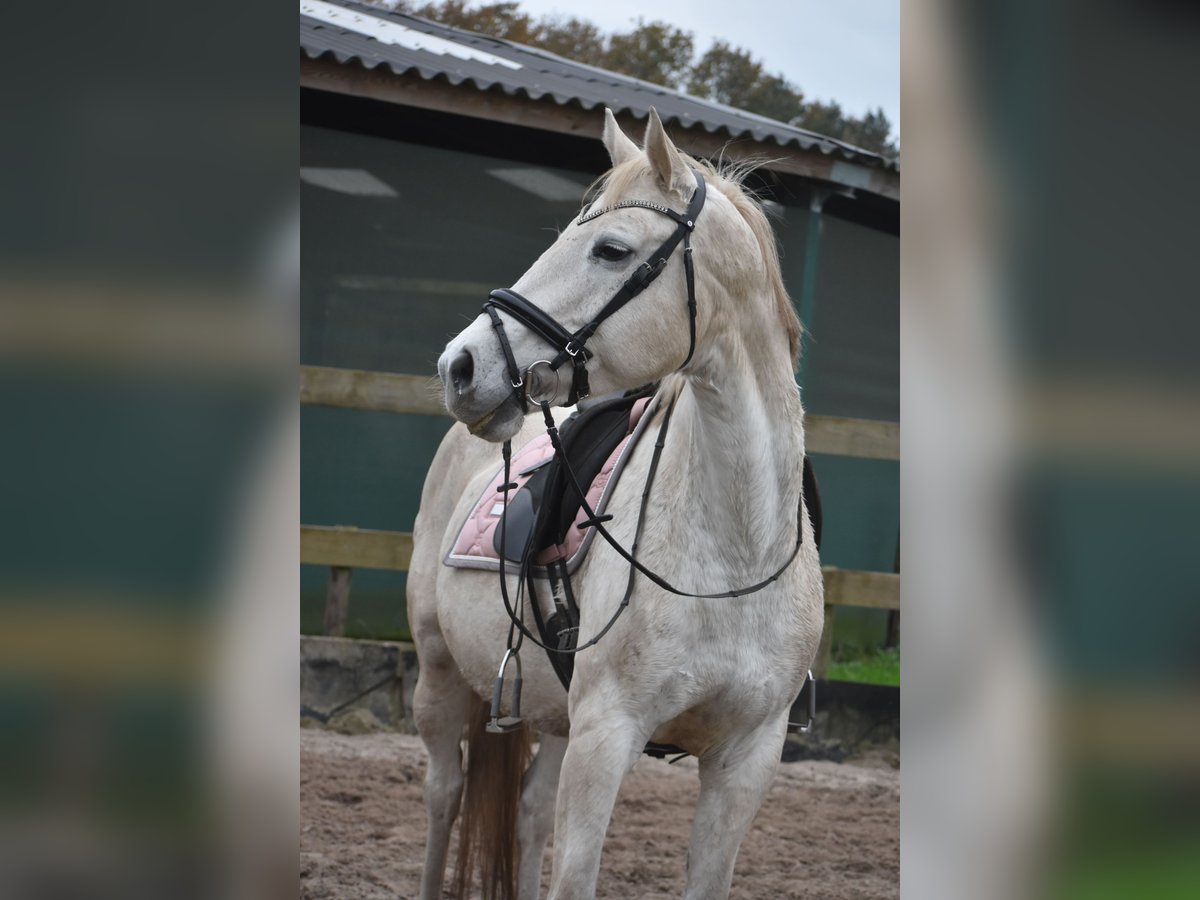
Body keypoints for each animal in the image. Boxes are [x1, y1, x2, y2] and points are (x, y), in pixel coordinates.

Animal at [408, 109, 820, 897]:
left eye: (610, 249)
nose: (461, 366)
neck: (733, 553)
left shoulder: (745, 759)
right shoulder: (606, 737)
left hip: (553, 720)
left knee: (528, 814)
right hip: (440, 675)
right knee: (444, 798)